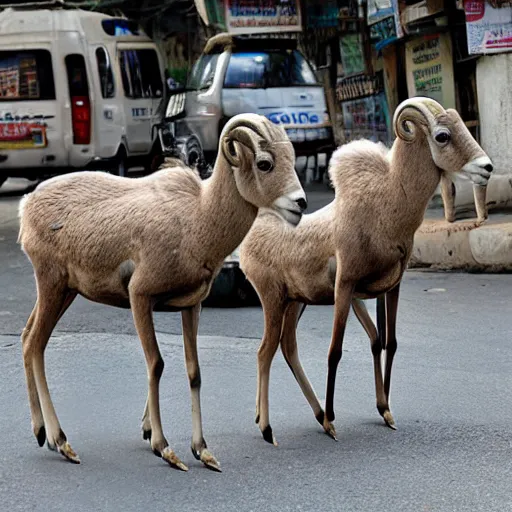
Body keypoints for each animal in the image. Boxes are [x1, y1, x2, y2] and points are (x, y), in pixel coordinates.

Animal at [19, 113, 308, 472]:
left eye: (291, 159)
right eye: (265, 163)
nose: (300, 203)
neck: (198, 219)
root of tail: (27, 207)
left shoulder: (191, 307)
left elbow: (194, 372)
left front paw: (203, 452)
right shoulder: (140, 298)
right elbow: (155, 364)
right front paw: (165, 449)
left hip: (64, 292)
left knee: (27, 338)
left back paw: (41, 433)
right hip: (52, 285)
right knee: (36, 345)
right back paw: (62, 443)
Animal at [240, 96, 492, 444]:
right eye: (442, 136)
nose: (487, 167)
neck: (388, 206)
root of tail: (248, 242)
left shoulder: (389, 287)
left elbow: (386, 341)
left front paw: (385, 411)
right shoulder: (345, 285)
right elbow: (335, 351)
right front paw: (334, 423)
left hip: (295, 303)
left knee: (288, 348)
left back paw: (311, 415)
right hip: (272, 301)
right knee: (265, 352)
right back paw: (270, 428)